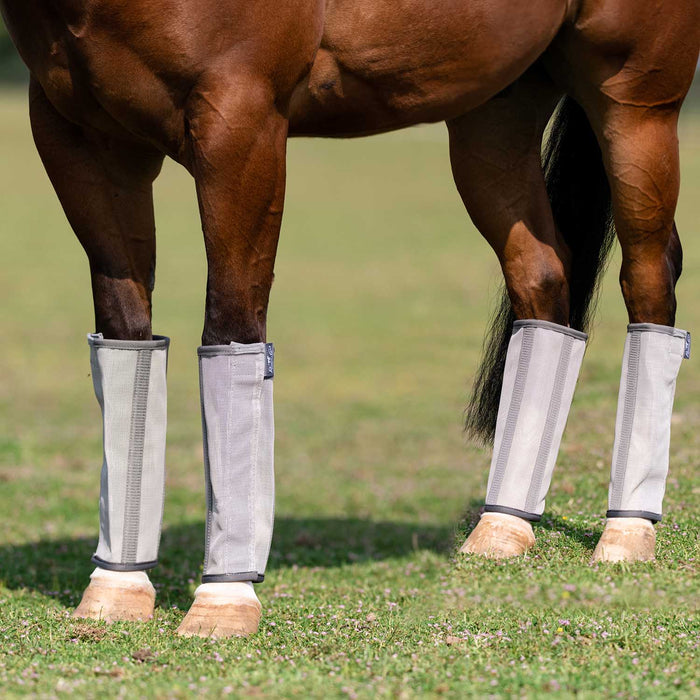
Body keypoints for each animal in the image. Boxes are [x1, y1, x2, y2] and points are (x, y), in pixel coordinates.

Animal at [1, 0, 697, 638]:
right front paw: (115, 589)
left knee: (648, 279)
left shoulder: (240, 125)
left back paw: (627, 533)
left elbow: (231, 326)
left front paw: (225, 599)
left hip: (633, 101)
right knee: (543, 281)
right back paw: (503, 526)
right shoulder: (79, 137)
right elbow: (127, 336)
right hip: (495, 115)